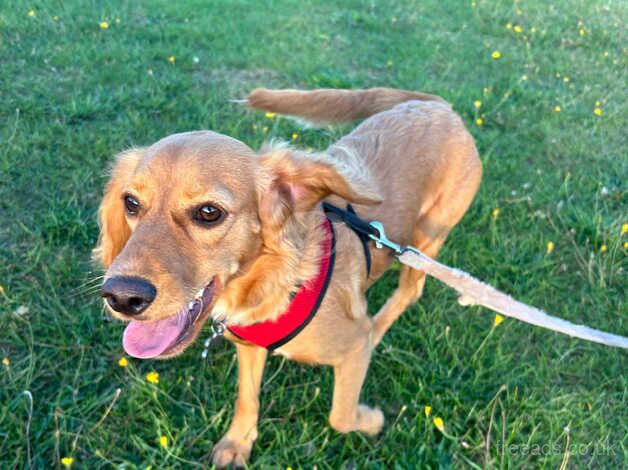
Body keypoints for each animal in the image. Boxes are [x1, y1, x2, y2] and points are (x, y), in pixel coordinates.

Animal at [95, 88, 484, 466]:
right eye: (131, 203)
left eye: (208, 212)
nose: (122, 296)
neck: (275, 285)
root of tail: (436, 106)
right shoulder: (249, 348)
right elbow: (246, 399)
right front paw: (238, 443)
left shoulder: (353, 347)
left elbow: (341, 416)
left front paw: (370, 420)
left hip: (427, 239)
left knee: (409, 291)